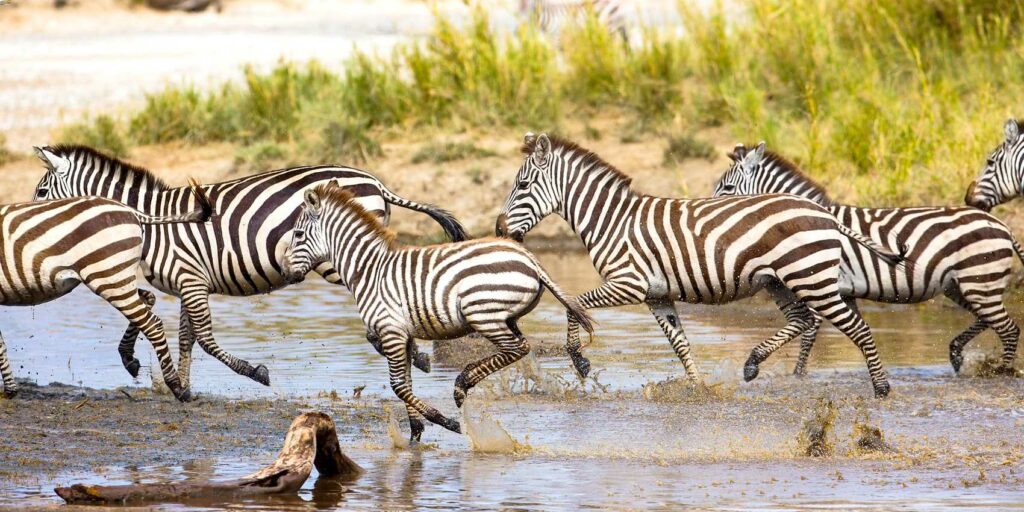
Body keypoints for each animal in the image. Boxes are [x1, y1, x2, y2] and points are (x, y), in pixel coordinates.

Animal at [0, 180, 210, 399]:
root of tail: (129, 210)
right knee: (148, 300)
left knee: (153, 324)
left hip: (108, 277)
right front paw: (11, 389)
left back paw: (176, 387)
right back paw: (131, 360)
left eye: (42, 192)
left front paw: (10, 390)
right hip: (116, 276)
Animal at [30, 144, 464, 391]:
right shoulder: (189, 282)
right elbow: (184, 336)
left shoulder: (189, 278)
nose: (29, 222)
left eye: (40, 192)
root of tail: (374, 180)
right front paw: (177, 382)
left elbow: (203, 338)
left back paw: (416, 355)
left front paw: (254, 373)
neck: (150, 221)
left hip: (337, 258)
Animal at [280, 183, 593, 440]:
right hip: (505, 317)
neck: (368, 270)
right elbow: (406, 383)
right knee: (520, 347)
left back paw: (462, 383)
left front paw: (445, 422)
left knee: (517, 348)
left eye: (297, 234)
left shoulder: (390, 331)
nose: (283, 271)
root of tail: (529, 258)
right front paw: (415, 433)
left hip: (483, 314)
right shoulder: (402, 334)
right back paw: (464, 382)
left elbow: (397, 385)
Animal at [495, 132, 905, 395]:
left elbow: (574, 305)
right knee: (802, 320)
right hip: (782, 281)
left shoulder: (629, 284)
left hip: (811, 278)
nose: (499, 229)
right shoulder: (656, 294)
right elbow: (679, 343)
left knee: (856, 328)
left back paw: (882, 388)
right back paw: (752, 364)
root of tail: (824, 211)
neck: (611, 220)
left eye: (523, 185)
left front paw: (579, 360)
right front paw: (697, 387)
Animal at [712, 142, 1024, 374]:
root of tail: (1003, 225)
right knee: (988, 319)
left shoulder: (818, 283)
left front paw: (797, 376)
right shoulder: (843, 290)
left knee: (1008, 328)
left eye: (726, 189)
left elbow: (810, 331)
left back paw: (1002, 371)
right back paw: (958, 353)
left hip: (978, 279)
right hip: (961, 285)